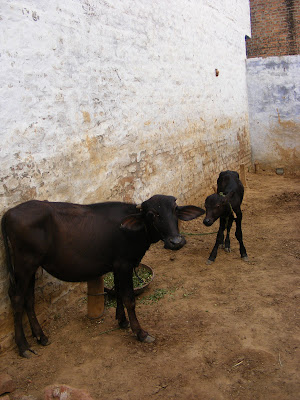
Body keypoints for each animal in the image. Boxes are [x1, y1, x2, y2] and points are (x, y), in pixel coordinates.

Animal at [1, 195, 204, 358]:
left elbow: (119, 292)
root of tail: (9, 213)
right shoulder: (124, 264)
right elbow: (129, 298)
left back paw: (41, 336)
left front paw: (122, 321)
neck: (133, 232)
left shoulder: (117, 266)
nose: (176, 241)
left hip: (31, 267)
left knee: (28, 299)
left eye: (175, 210)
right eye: (152, 214)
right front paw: (140, 332)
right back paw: (23, 346)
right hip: (24, 264)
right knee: (17, 298)